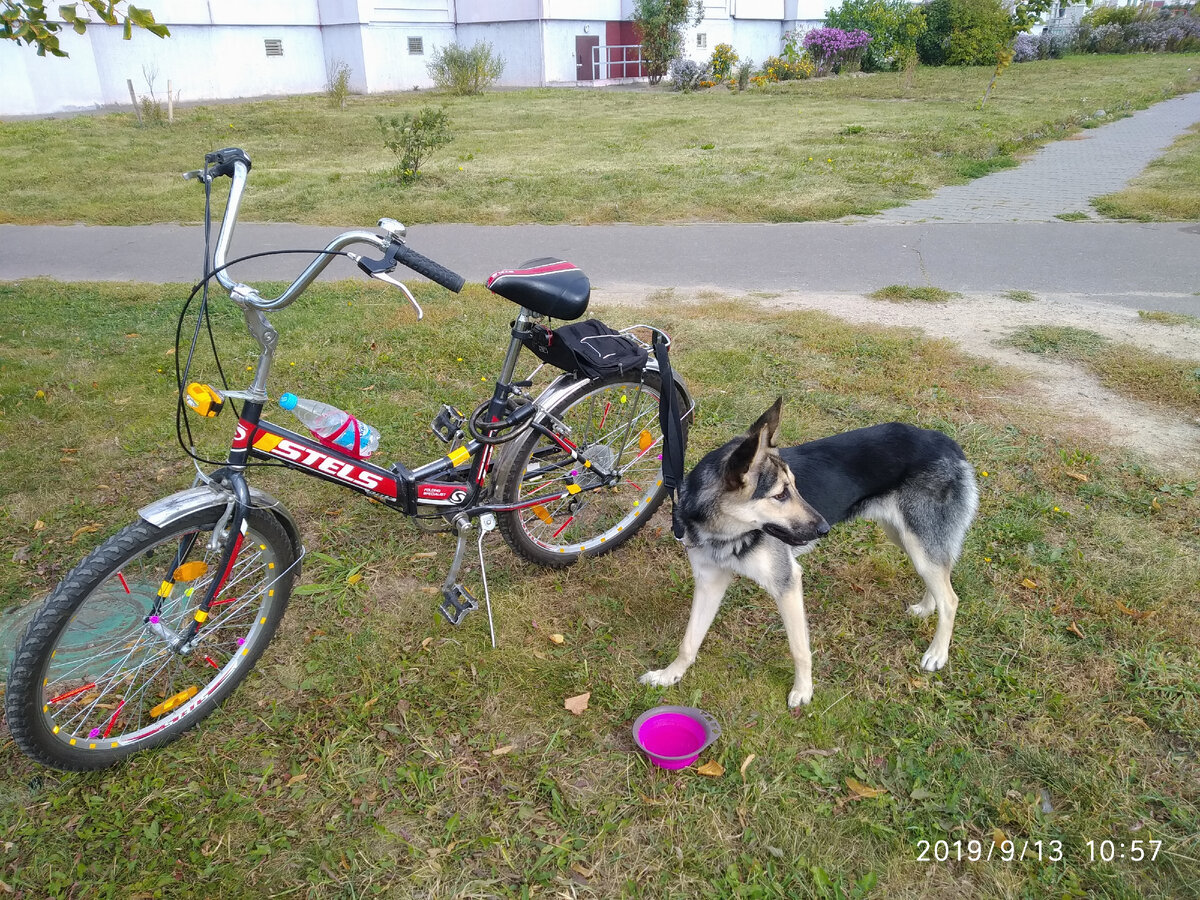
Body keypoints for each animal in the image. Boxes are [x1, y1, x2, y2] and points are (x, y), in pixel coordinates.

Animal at [638, 398, 974, 710]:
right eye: (780, 495)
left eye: (795, 487)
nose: (824, 528)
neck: (724, 531)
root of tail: (942, 440)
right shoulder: (709, 582)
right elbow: (689, 640)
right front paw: (670, 675)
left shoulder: (787, 583)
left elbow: (799, 649)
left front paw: (803, 691)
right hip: (907, 538)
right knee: (940, 577)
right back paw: (927, 607)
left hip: (918, 541)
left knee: (950, 597)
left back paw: (937, 653)